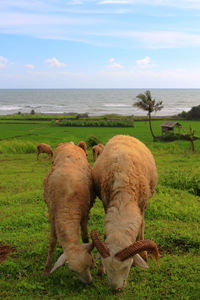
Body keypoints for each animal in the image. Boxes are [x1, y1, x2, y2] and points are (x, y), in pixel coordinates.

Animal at [42, 143, 95, 284]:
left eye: (88, 264)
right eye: (72, 270)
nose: (89, 282)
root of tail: (71, 143)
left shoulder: (84, 214)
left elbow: (85, 237)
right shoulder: (53, 215)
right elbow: (52, 241)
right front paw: (46, 269)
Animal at [91, 135, 159, 290]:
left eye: (126, 267)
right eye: (106, 266)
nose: (117, 289)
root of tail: (124, 135)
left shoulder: (142, 203)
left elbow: (140, 226)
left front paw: (140, 256)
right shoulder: (106, 202)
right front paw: (100, 270)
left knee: (142, 224)